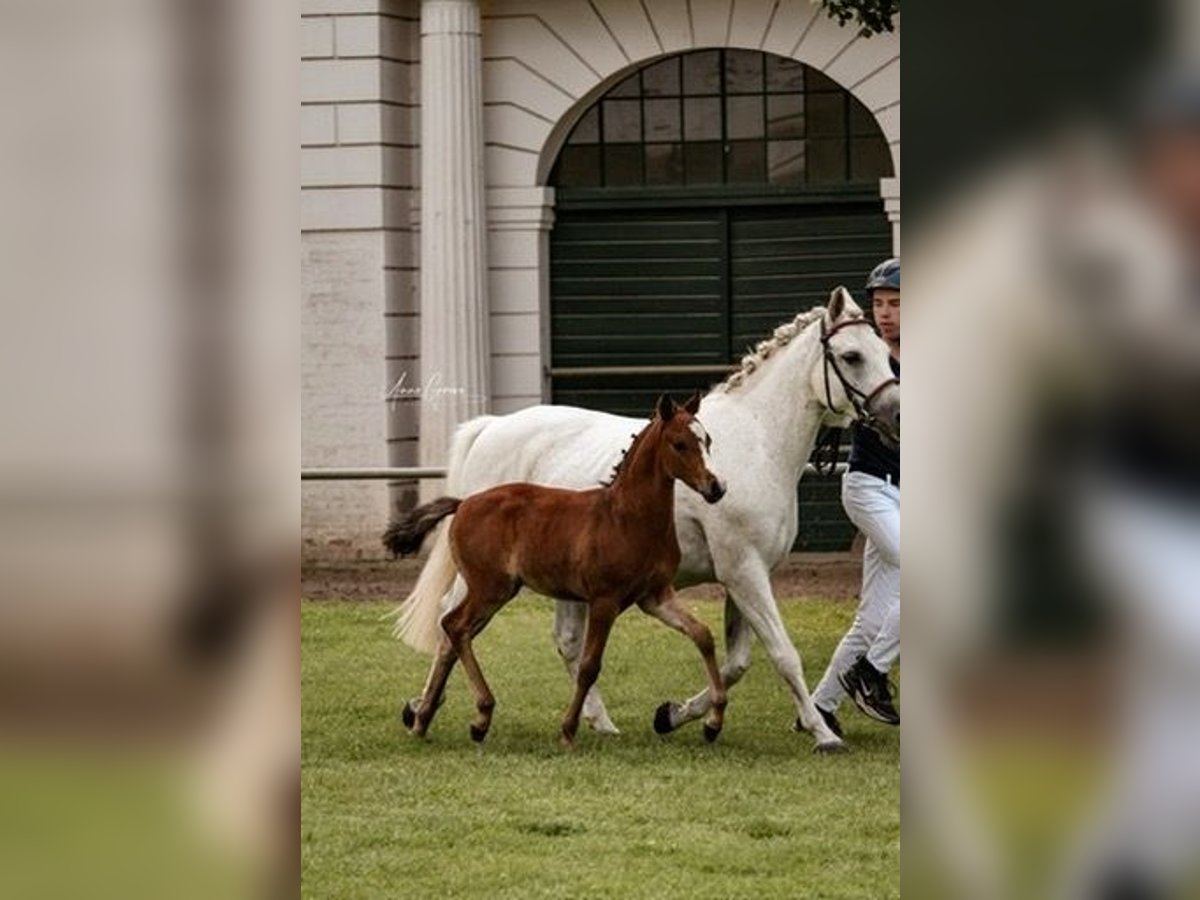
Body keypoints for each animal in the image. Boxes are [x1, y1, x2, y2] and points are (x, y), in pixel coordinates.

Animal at [384, 393, 724, 748]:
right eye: (679, 444)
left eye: (708, 440)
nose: (715, 487)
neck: (627, 516)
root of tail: (462, 503)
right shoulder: (604, 601)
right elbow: (589, 666)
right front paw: (568, 730)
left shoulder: (655, 597)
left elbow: (703, 635)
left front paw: (714, 722)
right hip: (490, 588)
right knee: (454, 625)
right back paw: (479, 716)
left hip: (495, 591)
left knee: (453, 632)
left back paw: (425, 720)